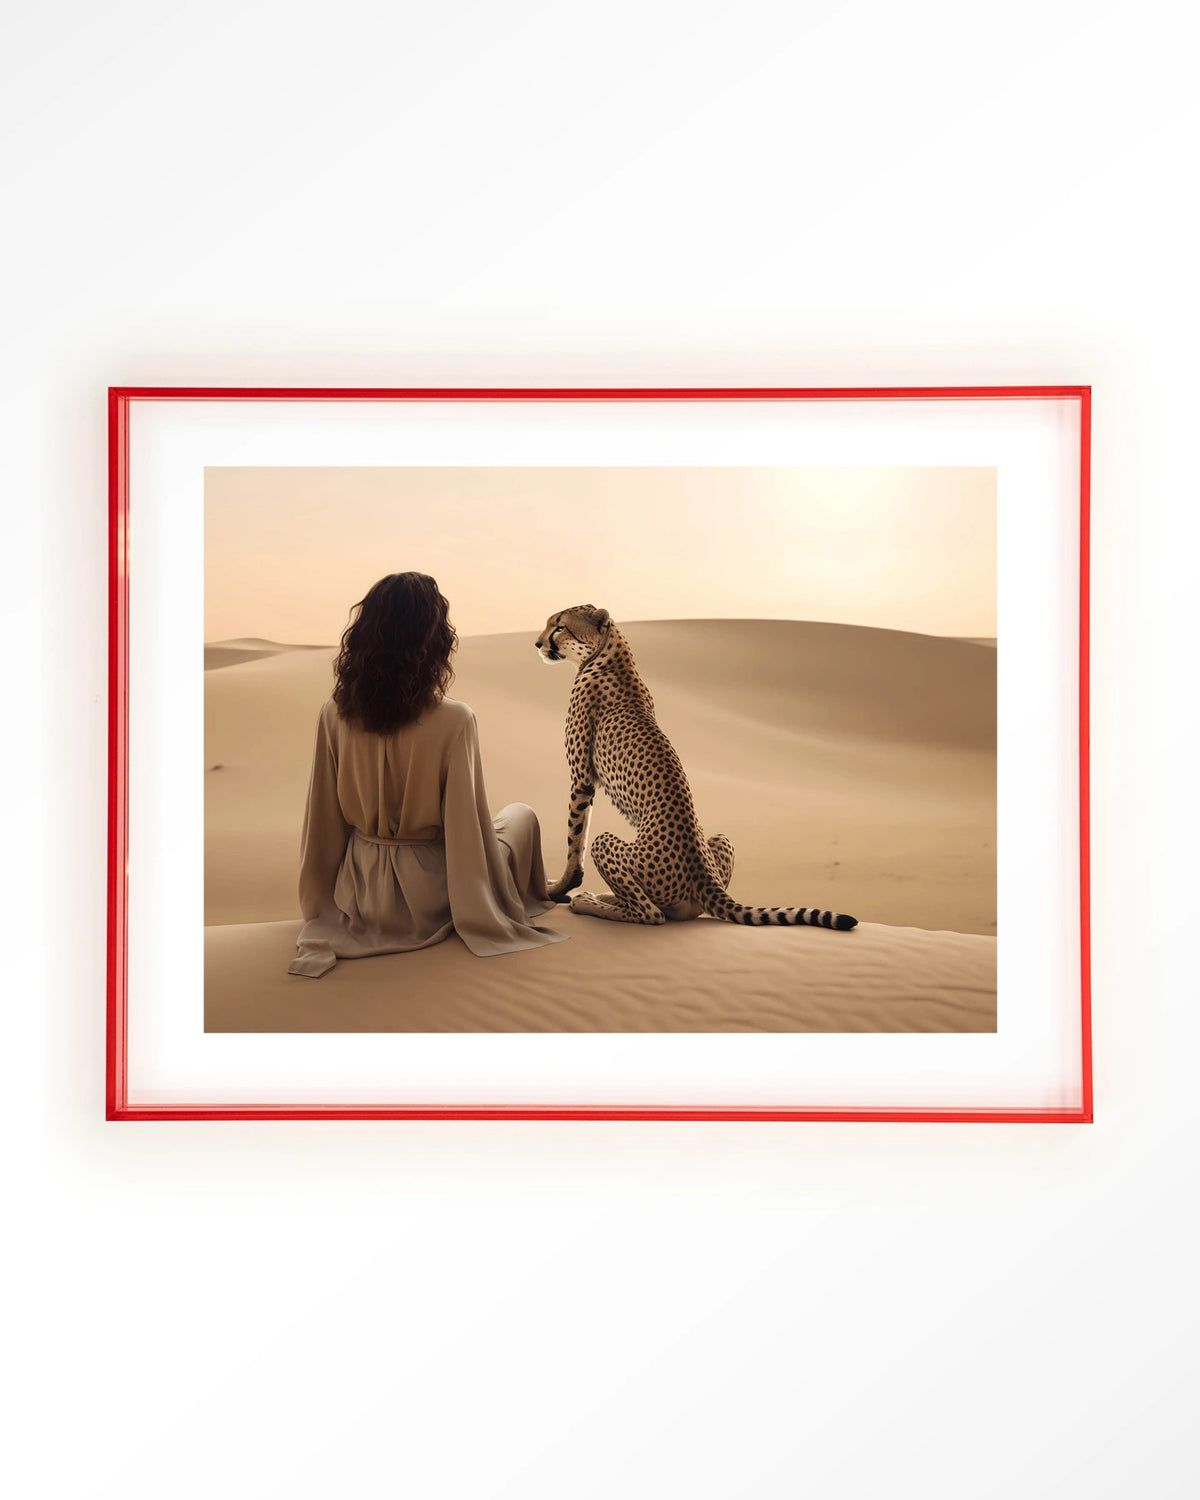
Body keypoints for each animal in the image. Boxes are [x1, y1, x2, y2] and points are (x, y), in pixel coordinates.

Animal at [534, 604, 858, 930]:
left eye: (559, 627)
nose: (538, 644)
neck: (611, 654)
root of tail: (703, 877)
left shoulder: (582, 778)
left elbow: (575, 841)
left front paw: (556, 888)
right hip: (721, 840)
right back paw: (608, 897)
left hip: (613, 848)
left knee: (652, 914)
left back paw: (589, 902)